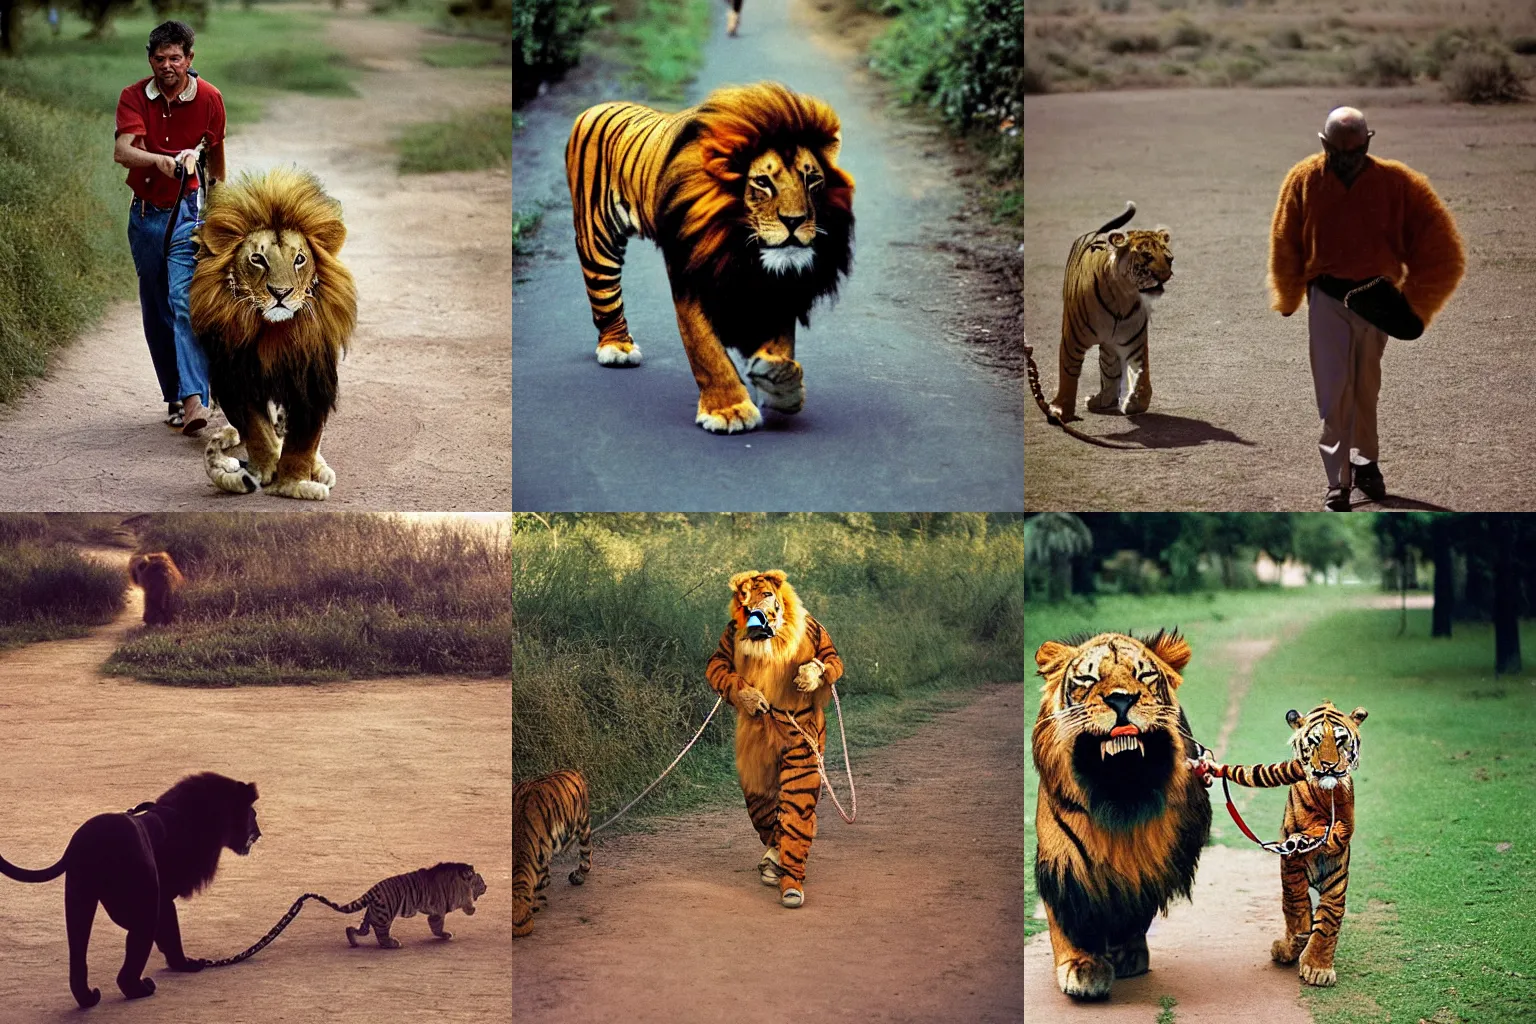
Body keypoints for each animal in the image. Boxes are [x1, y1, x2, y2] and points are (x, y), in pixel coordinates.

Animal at [0, 773, 259, 1007]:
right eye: (253, 813)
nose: (259, 833)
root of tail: (85, 843)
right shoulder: (163, 898)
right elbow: (172, 933)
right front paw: (184, 964)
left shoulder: (163, 899)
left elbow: (168, 933)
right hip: (143, 903)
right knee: (130, 960)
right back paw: (142, 989)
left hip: (79, 900)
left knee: (78, 956)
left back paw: (88, 998)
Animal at [565, 80, 854, 432]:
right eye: (762, 182)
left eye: (812, 180)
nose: (795, 221)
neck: (739, 245)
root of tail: (595, 107)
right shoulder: (690, 278)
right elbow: (707, 350)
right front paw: (729, 410)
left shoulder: (777, 285)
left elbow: (781, 342)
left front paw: (778, 380)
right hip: (598, 240)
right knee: (605, 296)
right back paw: (616, 347)